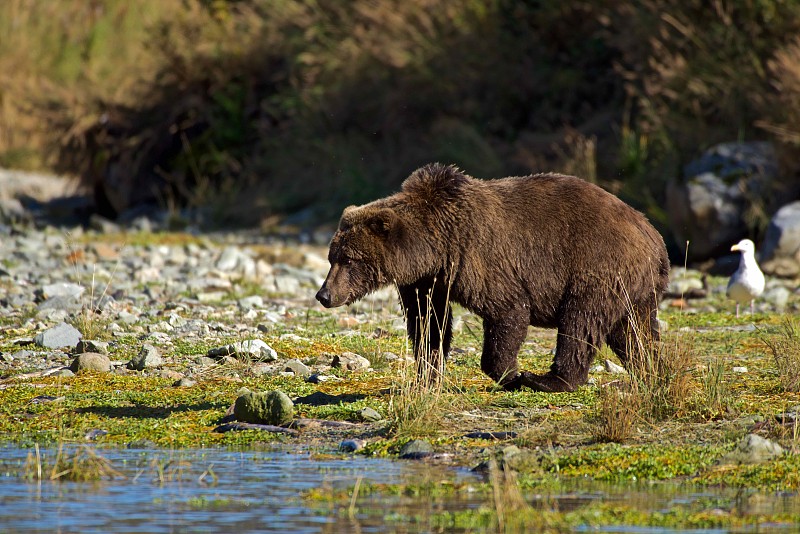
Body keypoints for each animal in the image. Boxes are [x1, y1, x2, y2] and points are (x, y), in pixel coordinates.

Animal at [316, 163, 672, 394]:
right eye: (332, 257)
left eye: (348, 259)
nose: (324, 295)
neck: (436, 248)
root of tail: (653, 235)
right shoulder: (427, 281)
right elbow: (428, 324)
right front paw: (426, 376)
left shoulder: (481, 259)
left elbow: (508, 311)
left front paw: (511, 375)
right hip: (635, 288)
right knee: (635, 334)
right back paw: (653, 371)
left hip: (598, 266)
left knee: (580, 322)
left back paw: (549, 380)